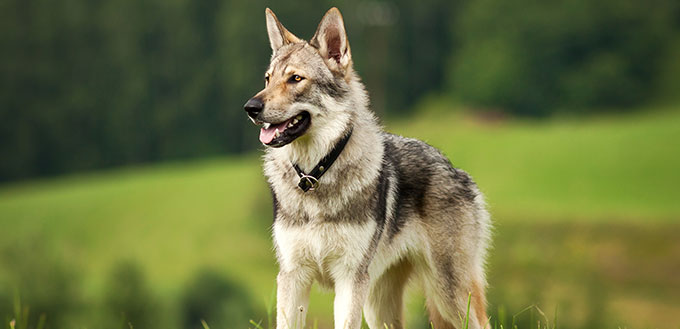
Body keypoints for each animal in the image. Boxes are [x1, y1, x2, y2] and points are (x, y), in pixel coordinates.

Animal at [242, 7, 492, 328]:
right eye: (268, 79)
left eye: (296, 78)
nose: (250, 107)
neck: (315, 175)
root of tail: (454, 168)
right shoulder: (292, 276)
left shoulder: (349, 279)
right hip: (380, 304)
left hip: (450, 297)